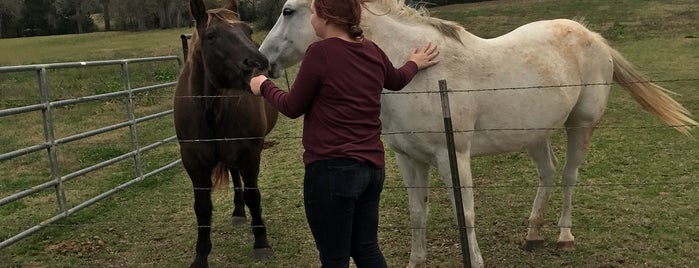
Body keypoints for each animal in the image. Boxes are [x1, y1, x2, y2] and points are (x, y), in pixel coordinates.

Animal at [174, 1, 278, 266]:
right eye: (211, 36)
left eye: (248, 30)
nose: (258, 64)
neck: (210, 110)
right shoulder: (193, 161)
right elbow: (202, 207)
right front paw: (200, 256)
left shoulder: (250, 153)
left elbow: (253, 195)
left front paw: (261, 242)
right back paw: (238, 212)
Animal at [260, 1, 696, 266]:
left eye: (288, 10)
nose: (261, 60)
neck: (419, 73)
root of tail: (593, 37)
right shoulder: (409, 159)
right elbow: (418, 213)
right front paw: (416, 261)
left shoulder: (452, 155)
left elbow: (464, 213)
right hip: (534, 134)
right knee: (548, 173)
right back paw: (533, 234)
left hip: (581, 126)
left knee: (569, 177)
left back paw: (563, 236)